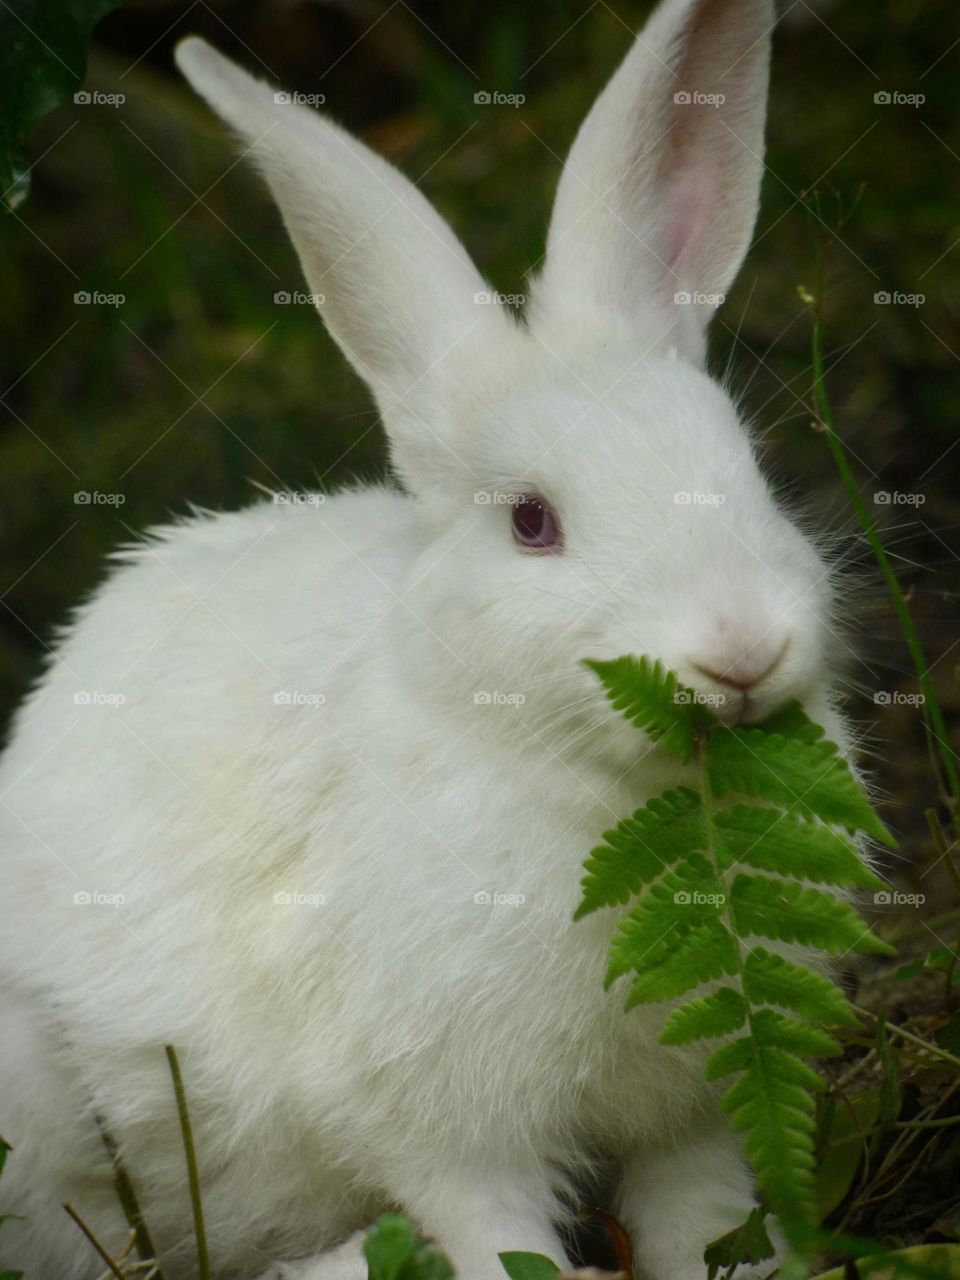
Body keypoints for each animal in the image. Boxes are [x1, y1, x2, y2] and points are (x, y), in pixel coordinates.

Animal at [0, 0, 857, 1277]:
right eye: (532, 522)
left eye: (745, 468)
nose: (740, 649)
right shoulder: (441, 1124)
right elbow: (495, 1231)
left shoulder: (693, 1108)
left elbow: (701, 1214)